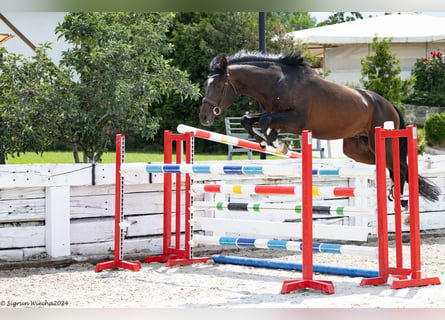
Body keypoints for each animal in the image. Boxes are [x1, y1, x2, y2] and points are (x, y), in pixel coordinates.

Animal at [199, 51, 438, 204]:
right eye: (206, 84)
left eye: (218, 85)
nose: (204, 117)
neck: (278, 83)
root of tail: (389, 105)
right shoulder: (273, 113)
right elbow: (248, 119)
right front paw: (269, 141)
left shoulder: (295, 120)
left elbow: (265, 121)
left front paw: (277, 142)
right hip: (358, 148)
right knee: (392, 166)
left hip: (381, 141)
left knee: (401, 167)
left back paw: (399, 199)